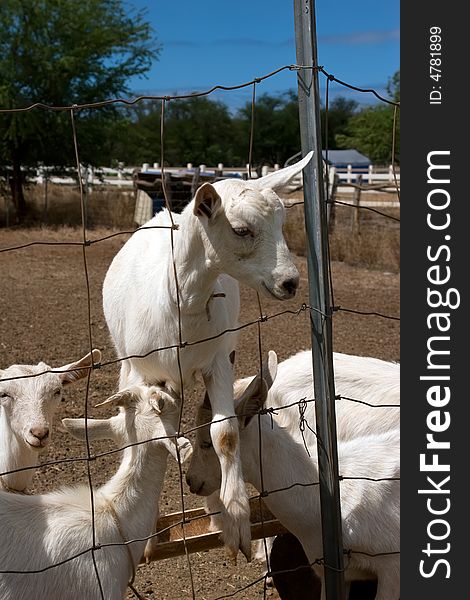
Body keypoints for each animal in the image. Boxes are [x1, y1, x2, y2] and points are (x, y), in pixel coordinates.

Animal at [102, 151, 314, 564]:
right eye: (241, 230)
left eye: (282, 222)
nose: (290, 282)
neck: (181, 305)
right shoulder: (147, 371)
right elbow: (147, 434)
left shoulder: (219, 358)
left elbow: (225, 432)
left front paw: (236, 520)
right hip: (129, 361)